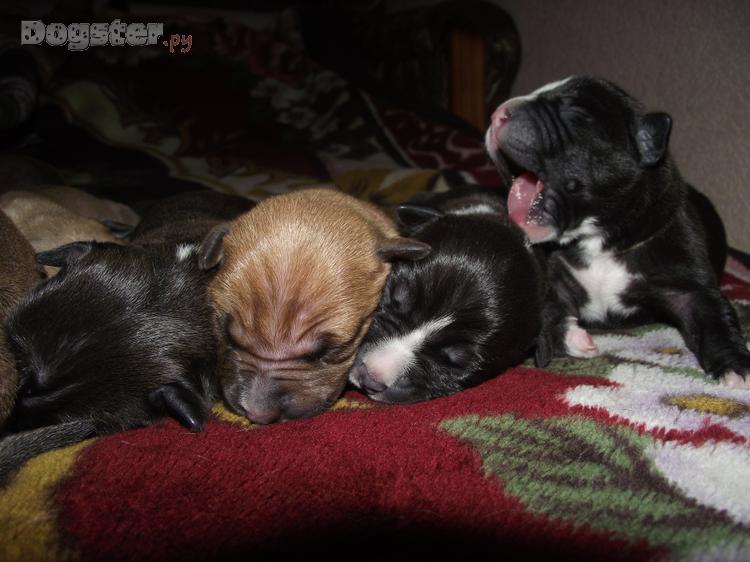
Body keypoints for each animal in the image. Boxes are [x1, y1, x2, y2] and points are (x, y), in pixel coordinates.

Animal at [485, 76, 750, 388]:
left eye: (576, 113)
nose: (497, 113)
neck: (599, 242)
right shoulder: (552, 276)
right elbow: (545, 309)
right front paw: (571, 336)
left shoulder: (689, 284)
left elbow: (715, 319)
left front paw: (737, 368)